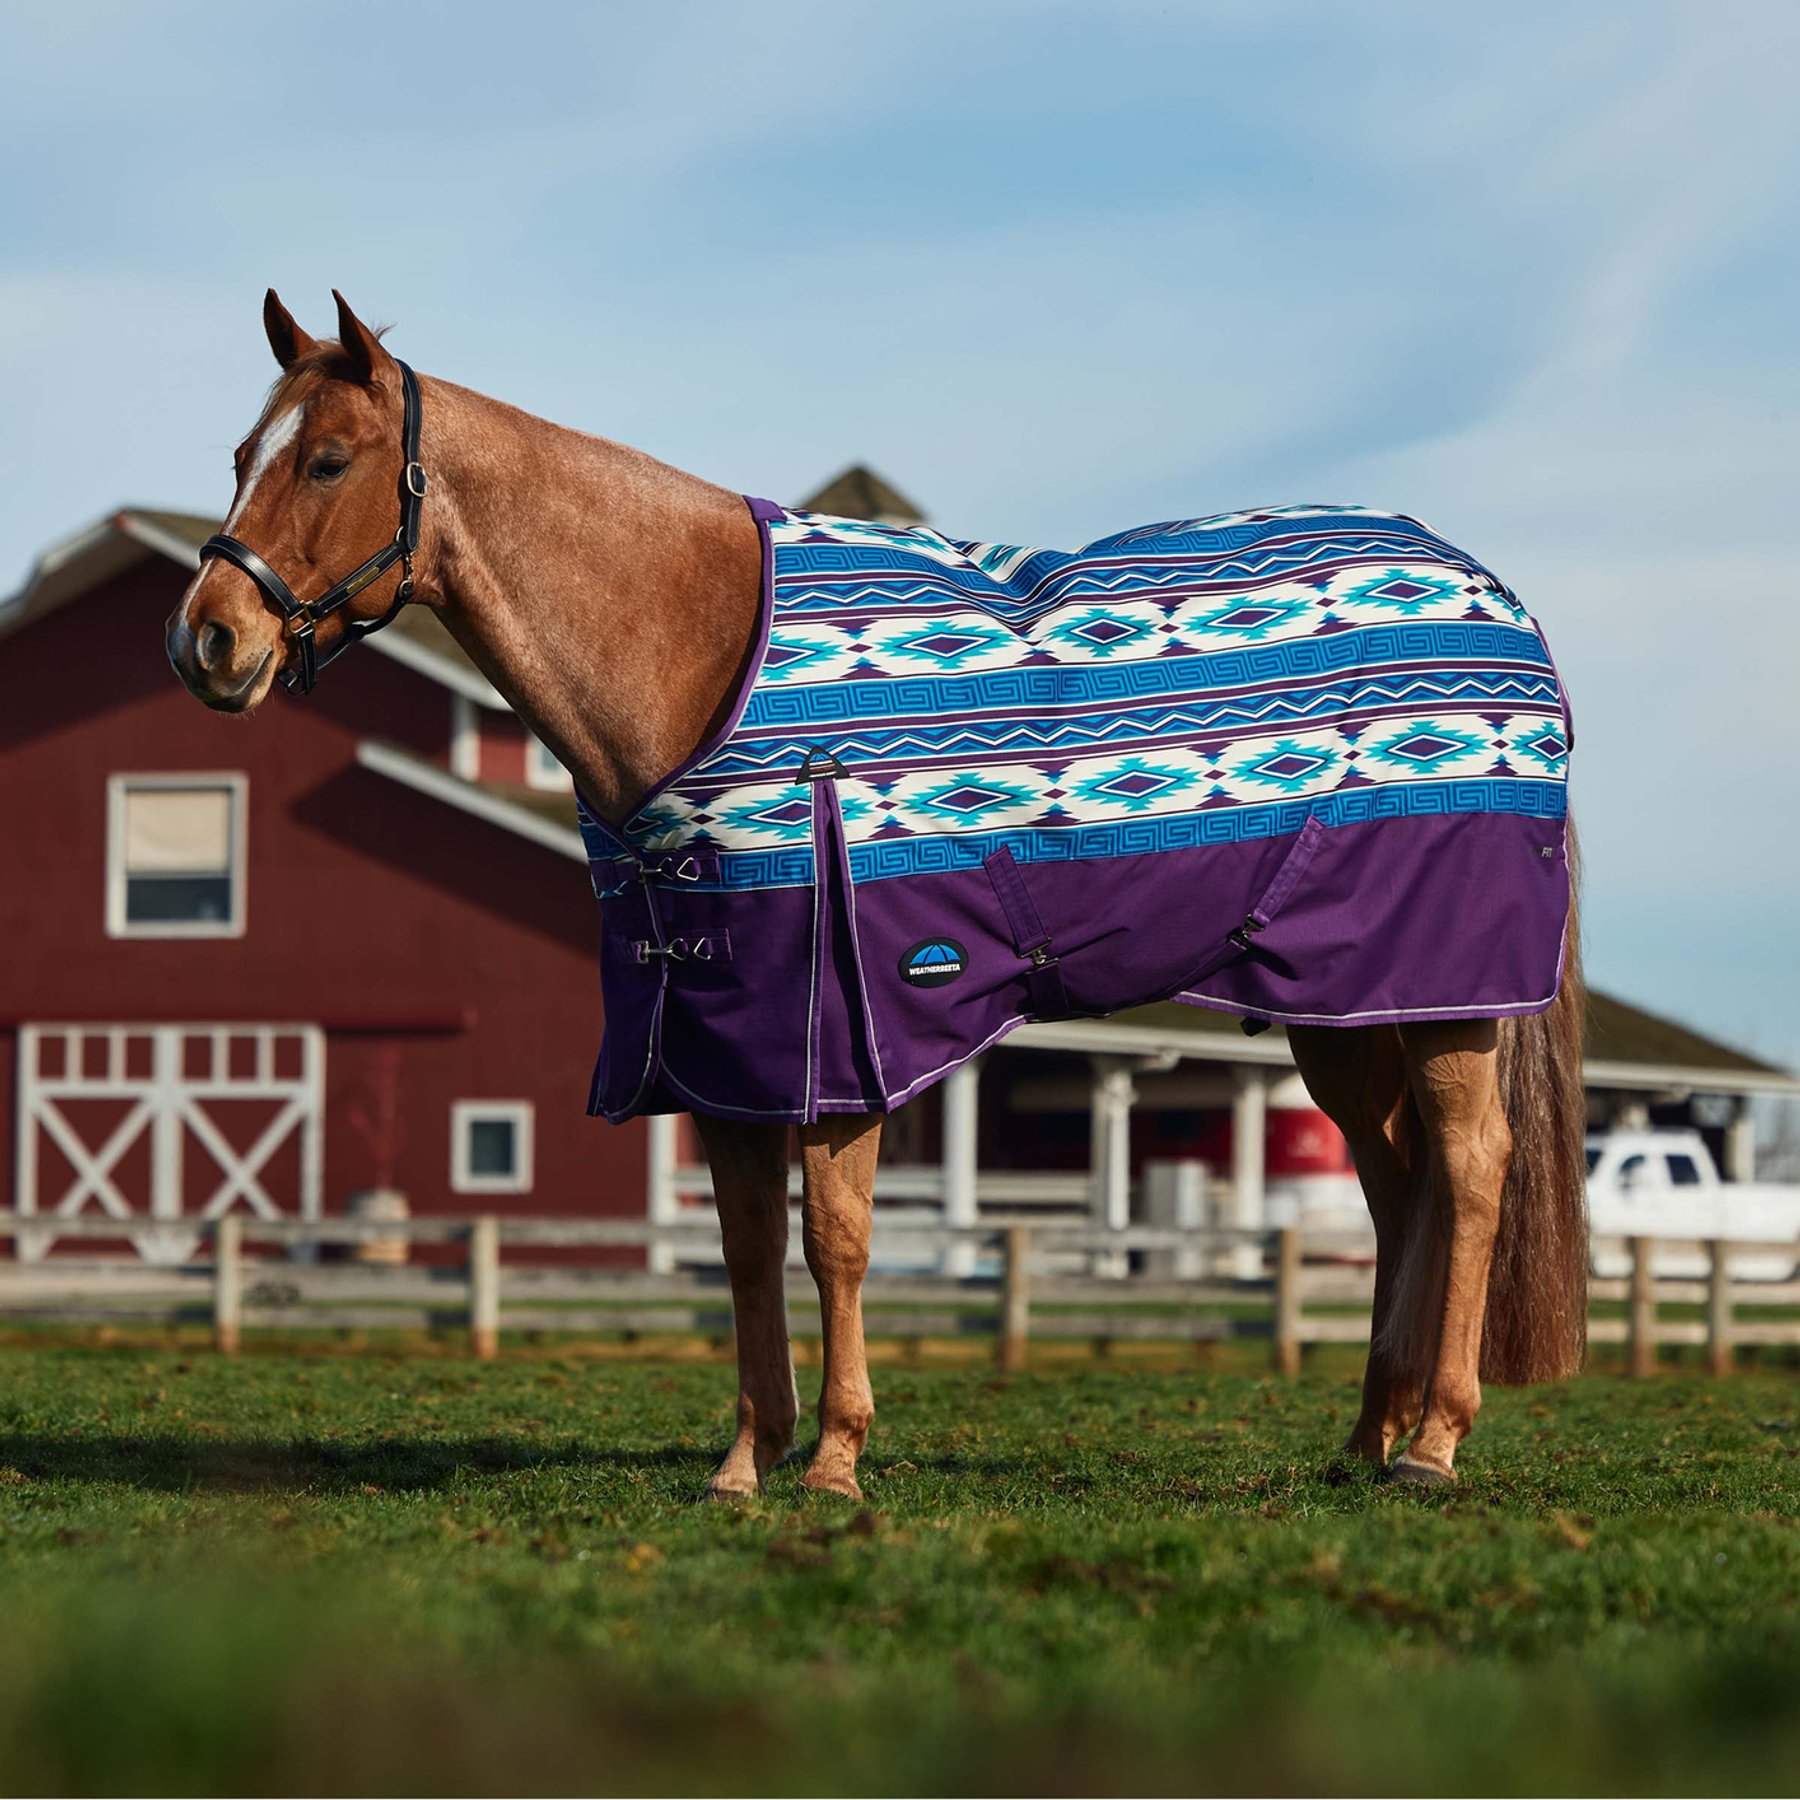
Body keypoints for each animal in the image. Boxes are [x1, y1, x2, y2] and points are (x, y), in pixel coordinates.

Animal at [167, 291, 1587, 1497]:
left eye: (328, 461)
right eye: (242, 451)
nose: (207, 642)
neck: (696, 654)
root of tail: (1502, 606)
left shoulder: (840, 1036)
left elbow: (836, 1241)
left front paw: (839, 1461)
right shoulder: (720, 1041)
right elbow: (745, 1249)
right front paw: (746, 1464)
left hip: (1448, 1000)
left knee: (1470, 1173)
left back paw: (1435, 1444)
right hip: (1341, 1010)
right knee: (1399, 1187)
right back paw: (1365, 1440)